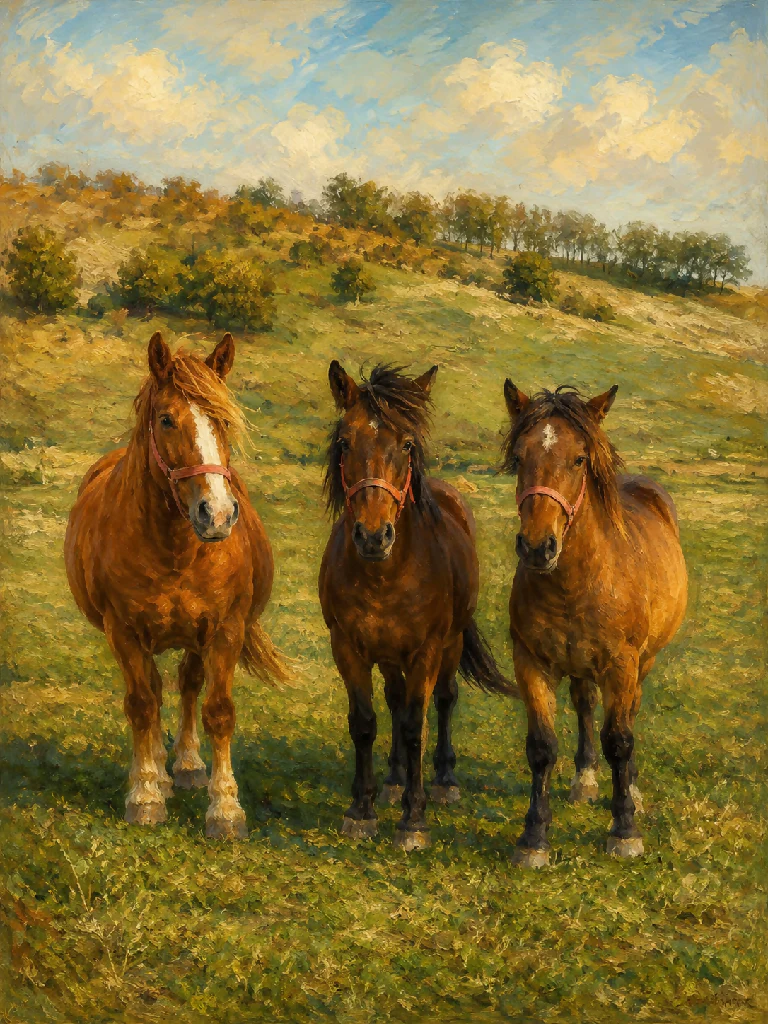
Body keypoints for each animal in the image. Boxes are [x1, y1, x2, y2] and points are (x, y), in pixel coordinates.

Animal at [64, 331, 285, 839]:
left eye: (223, 421)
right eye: (166, 419)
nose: (217, 514)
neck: (174, 551)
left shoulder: (224, 630)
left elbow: (217, 710)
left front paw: (225, 809)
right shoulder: (124, 633)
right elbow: (142, 705)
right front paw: (145, 795)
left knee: (187, 685)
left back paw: (185, 766)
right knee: (154, 692)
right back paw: (156, 775)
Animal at [319, 362, 516, 851]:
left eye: (406, 444)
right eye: (345, 442)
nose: (373, 535)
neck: (385, 576)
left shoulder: (426, 650)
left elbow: (414, 725)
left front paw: (414, 819)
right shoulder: (347, 648)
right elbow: (366, 722)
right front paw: (362, 809)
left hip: (450, 643)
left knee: (442, 701)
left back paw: (443, 781)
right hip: (390, 656)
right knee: (395, 701)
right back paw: (393, 781)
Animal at [501, 382, 687, 865]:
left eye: (579, 459)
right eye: (520, 457)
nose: (537, 547)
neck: (576, 583)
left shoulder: (621, 665)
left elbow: (619, 740)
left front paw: (625, 830)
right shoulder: (530, 663)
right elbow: (542, 746)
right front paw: (534, 837)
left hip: (643, 661)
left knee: (628, 714)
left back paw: (632, 790)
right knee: (585, 706)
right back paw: (585, 780)